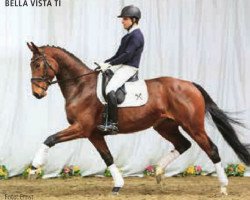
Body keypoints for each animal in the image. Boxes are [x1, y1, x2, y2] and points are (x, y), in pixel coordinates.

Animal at [26, 41, 249, 195]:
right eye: (31, 64)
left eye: (38, 64)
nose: (37, 94)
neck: (81, 86)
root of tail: (190, 84)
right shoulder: (94, 134)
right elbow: (107, 157)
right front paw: (118, 185)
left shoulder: (82, 128)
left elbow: (50, 139)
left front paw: (34, 168)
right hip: (165, 126)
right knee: (183, 144)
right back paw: (158, 172)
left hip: (193, 125)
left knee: (212, 149)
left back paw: (223, 187)